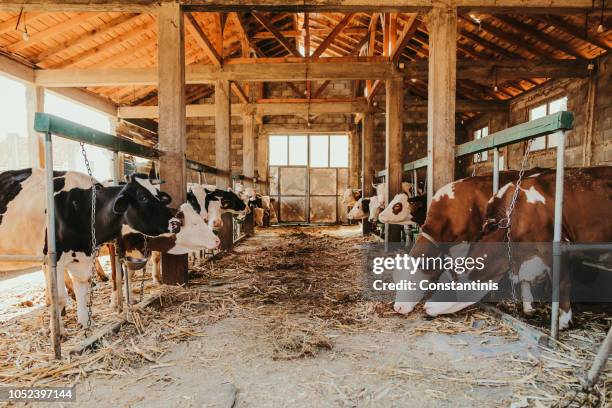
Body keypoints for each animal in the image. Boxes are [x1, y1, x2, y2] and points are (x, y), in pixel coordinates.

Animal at [424, 165, 612, 328]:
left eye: (449, 285)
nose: (426, 306)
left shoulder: (559, 248)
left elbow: (562, 283)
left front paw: (564, 320)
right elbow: (523, 278)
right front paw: (528, 306)